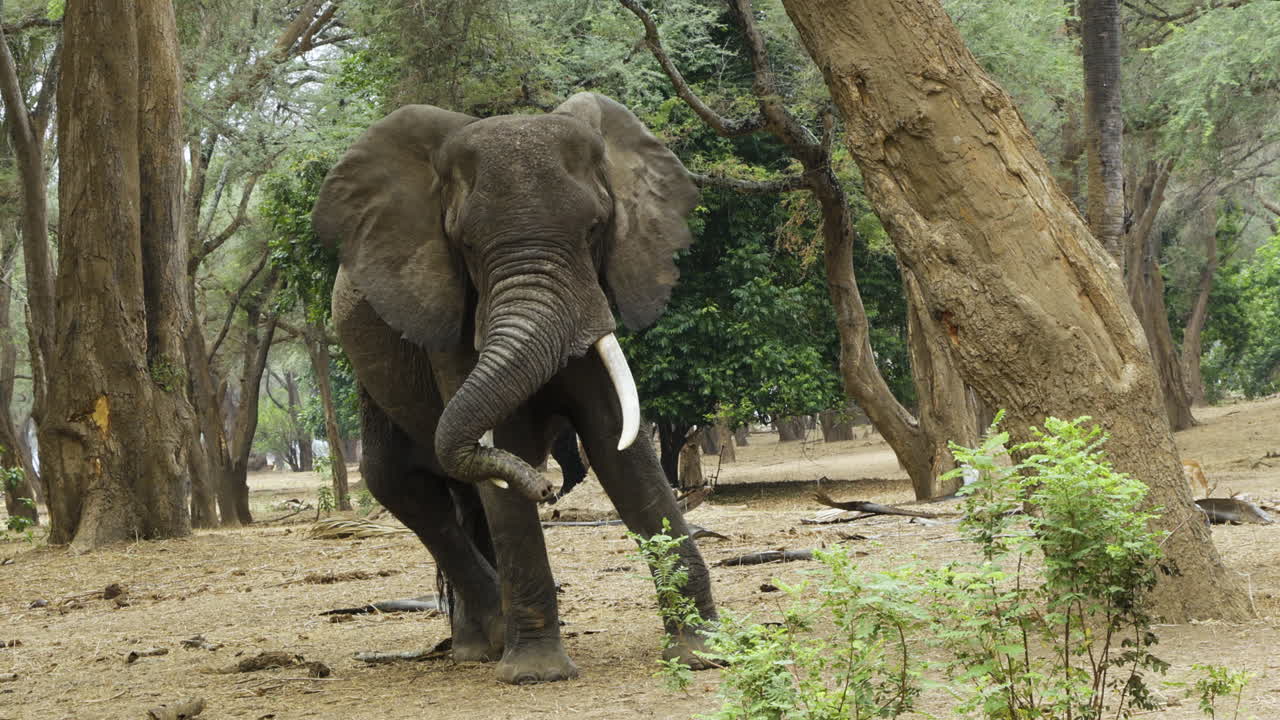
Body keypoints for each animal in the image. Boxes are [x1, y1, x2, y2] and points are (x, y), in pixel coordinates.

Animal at [312, 92, 718, 684]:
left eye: (594, 229)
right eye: (466, 245)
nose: (547, 489)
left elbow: (619, 445)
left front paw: (706, 653)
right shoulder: (451, 314)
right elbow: (503, 450)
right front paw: (537, 674)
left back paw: (481, 644)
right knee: (400, 483)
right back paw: (488, 643)